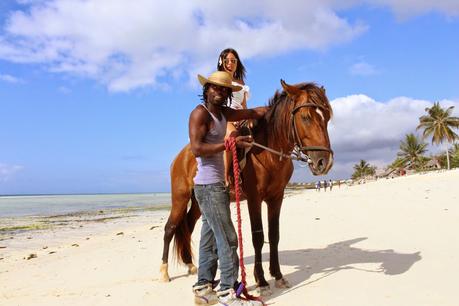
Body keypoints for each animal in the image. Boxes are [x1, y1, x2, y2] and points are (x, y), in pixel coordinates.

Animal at [160, 80, 332, 296]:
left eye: (327, 117)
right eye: (306, 117)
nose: (324, 162)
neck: (268, 152)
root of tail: (180, 156)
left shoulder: (277, 197)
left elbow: (274, 236)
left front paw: (278, 275)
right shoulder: (254, 198)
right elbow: (258, 237)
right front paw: (262, 281)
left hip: (199, 204)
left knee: (188, 227)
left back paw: (191, 265)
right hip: (180, 198)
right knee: (170, 228)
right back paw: (164, 272)